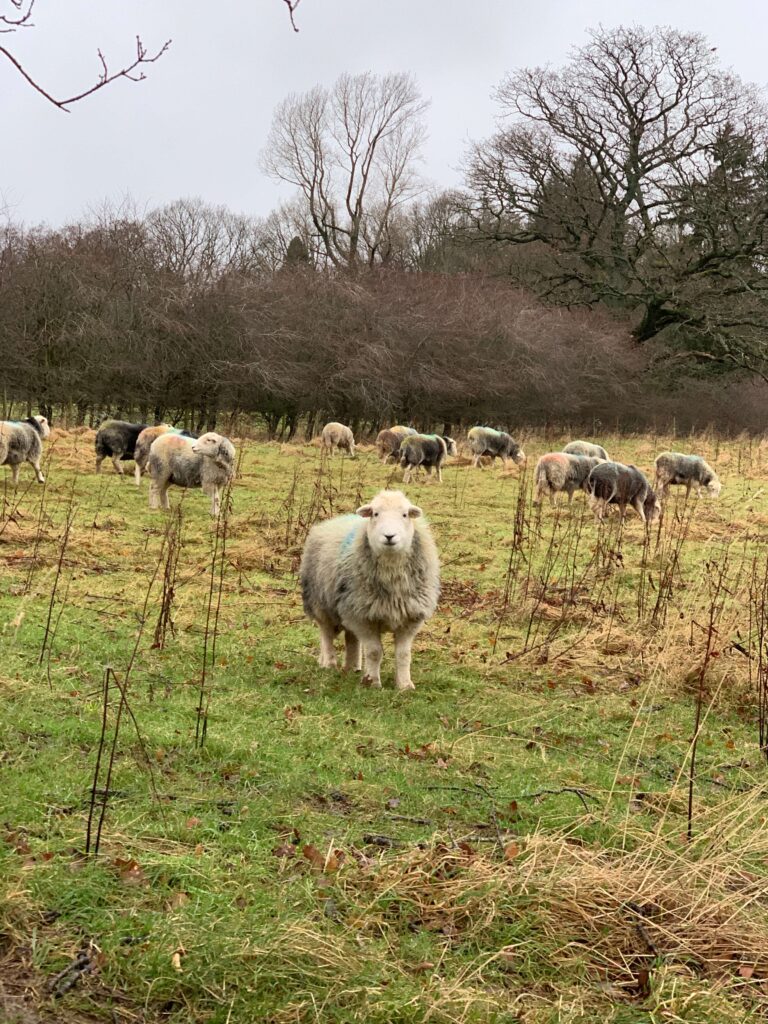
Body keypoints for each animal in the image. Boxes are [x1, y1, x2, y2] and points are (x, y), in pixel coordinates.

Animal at [299, 489, 440, 691]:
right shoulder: (364, 618)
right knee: (326, 633)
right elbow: (374, 652)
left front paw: (405, 685)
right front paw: (373, 682)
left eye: (405, 515)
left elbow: (404, 655)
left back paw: (352, 667)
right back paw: (329, 663)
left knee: (351, 638)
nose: (389, 536)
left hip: (350, 606)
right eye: (375, 514)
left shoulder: (409, 619)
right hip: (322, 603)